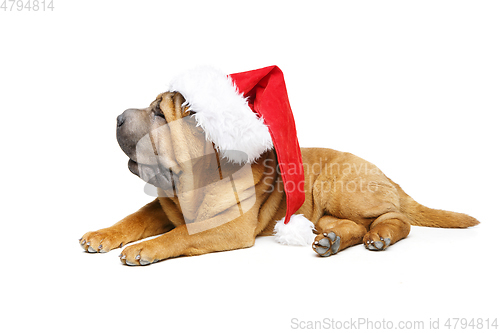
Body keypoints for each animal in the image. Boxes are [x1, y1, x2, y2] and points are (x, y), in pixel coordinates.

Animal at [79, 67, 480, 264]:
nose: (117, 117)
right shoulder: (163, 206)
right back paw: (332, 242)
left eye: (159, 113)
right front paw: (101, 236)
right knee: (350, 226)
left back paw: (379, 236)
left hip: (340, 188)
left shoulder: (230, 227)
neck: (191, 190)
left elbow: (179, 236)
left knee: (397, 219)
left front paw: (145, 249)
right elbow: (134, 218)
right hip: (325, 214)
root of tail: (388, 176)